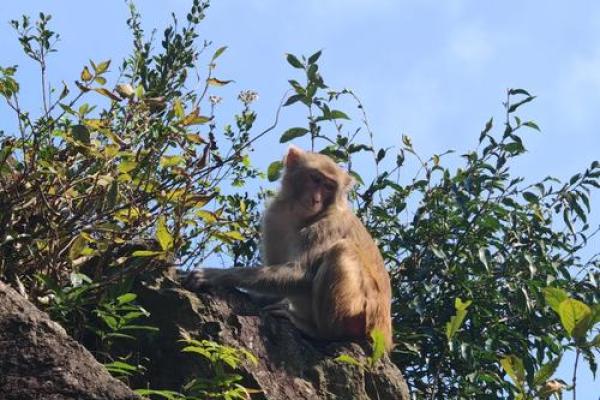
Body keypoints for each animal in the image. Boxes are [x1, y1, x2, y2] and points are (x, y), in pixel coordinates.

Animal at [185, 146, 396, 350]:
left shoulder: (329, 224)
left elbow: (301, 273)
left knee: (341, 249)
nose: (316, 200)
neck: (299, 215)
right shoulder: (274, 217)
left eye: (328, 187)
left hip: (363, 316)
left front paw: (215, 275)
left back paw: (322, 333)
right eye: (315, 179)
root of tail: (385, 339)